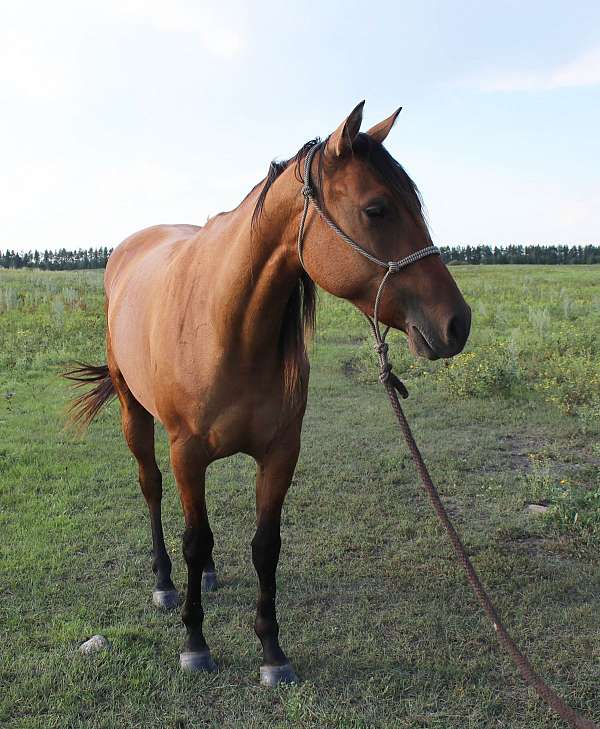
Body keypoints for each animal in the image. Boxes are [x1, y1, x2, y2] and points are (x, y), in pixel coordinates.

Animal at [65, 101, 471, 685]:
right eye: (376, 210)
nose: (457, 324)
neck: (225, 324)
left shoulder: (281, 453)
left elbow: (264, 546)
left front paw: (272, 650)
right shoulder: (186, 451)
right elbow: (194, 539)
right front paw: (195, 643)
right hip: (134, 414)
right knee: (152, 489)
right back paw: (165, 584)